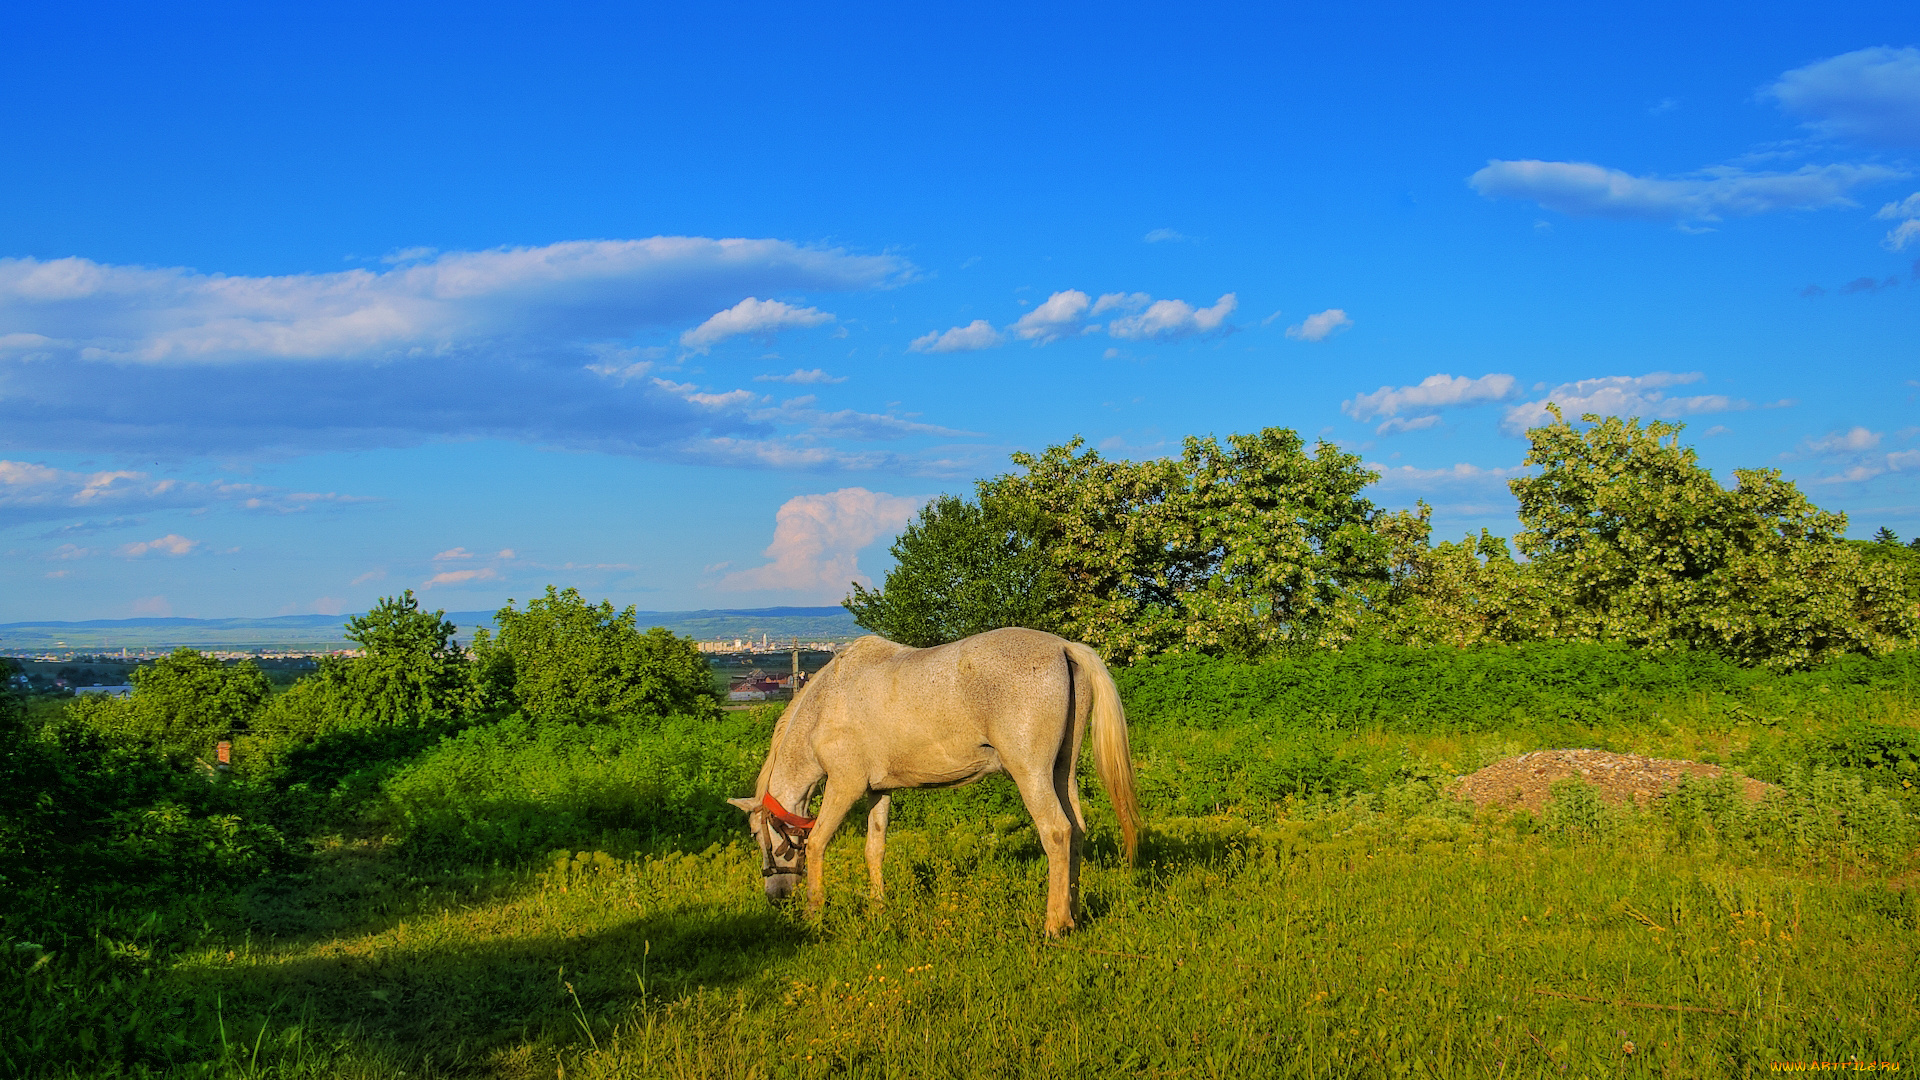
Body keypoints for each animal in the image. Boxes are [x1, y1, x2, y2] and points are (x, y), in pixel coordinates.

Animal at [721, 622, 1136, 933]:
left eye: (757, 834)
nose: (775, 897)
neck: (826, 704)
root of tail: (1064, 647)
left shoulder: (844, 786)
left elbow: (818, 843)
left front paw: (813, 913)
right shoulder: (878, 791)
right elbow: (874, 848)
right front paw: (878, 906)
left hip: (1031, 774)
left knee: (1057, 832)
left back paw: (1056, 923)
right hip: (1061, 771)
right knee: (1077, 830)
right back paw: (1074, 913)